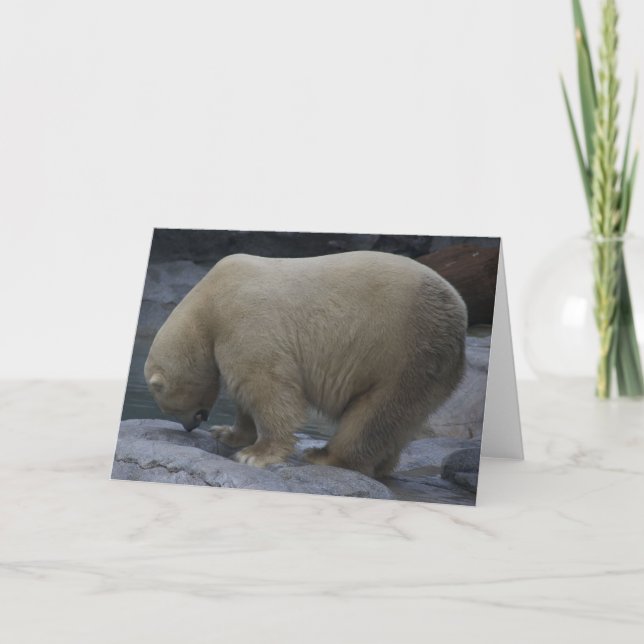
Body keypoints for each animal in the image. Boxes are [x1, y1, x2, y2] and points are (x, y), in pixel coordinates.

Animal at [144, 251, 467, 478]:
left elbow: (266, 388)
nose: (189, 426)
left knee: (372, 414)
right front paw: (227, 433)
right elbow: (246, 395)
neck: (208, 300)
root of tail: (458, 315)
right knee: (399, 420)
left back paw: (323, 455)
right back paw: (382, 465)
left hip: (402, 351)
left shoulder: (245, 321)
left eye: (172, 407)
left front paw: (255, 454)